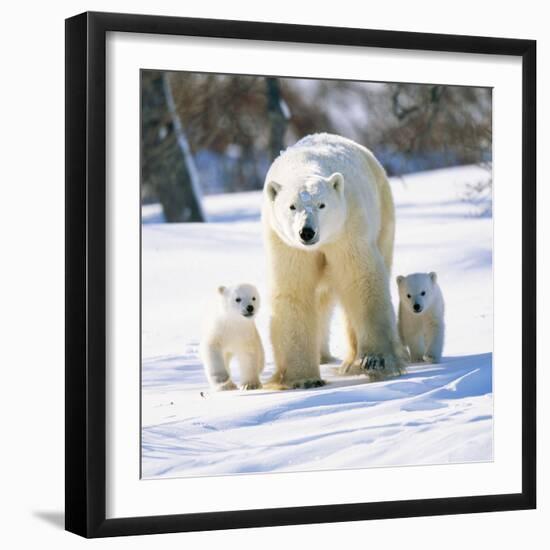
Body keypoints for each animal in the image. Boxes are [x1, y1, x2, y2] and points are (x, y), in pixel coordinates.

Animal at [264, 134, 406, 390]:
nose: (307, 232)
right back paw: (323, 356)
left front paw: (376, 360)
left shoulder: (347, 228)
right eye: (292, 206)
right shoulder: (286, 244)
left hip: (383, 214)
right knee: (320, 300)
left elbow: (361, 280)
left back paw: (351, 362)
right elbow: (294, 291)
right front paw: (303, 378)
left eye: (322, 204)